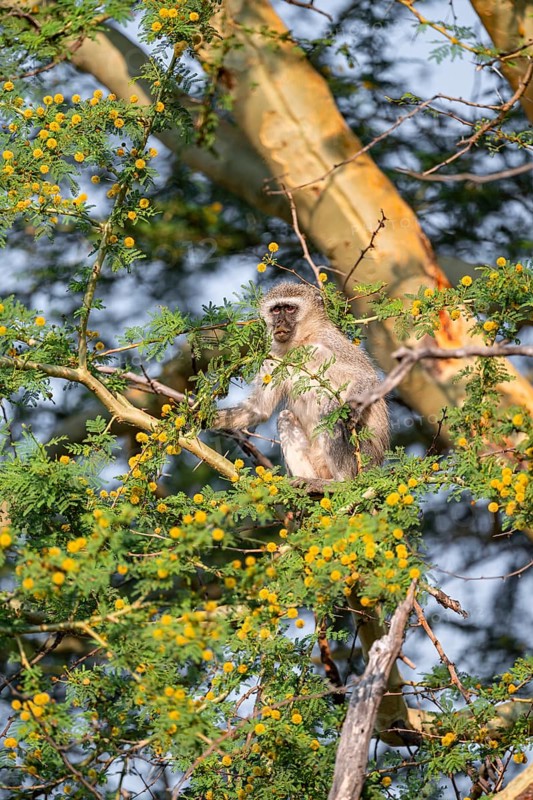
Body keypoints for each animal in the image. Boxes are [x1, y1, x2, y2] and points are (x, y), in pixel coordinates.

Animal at [213, 282, 389, 486]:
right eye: (276, 310)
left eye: (290, 308)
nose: (279, 323)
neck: (301, 342)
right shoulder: (274, 358)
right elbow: (259, 409)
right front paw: (198, 419)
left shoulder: (331, 343)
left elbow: (367, 377)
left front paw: (352, 407)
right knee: (285, 417)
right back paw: (306, 483)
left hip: (362, 457)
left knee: (330, 407)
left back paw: (339, 483)